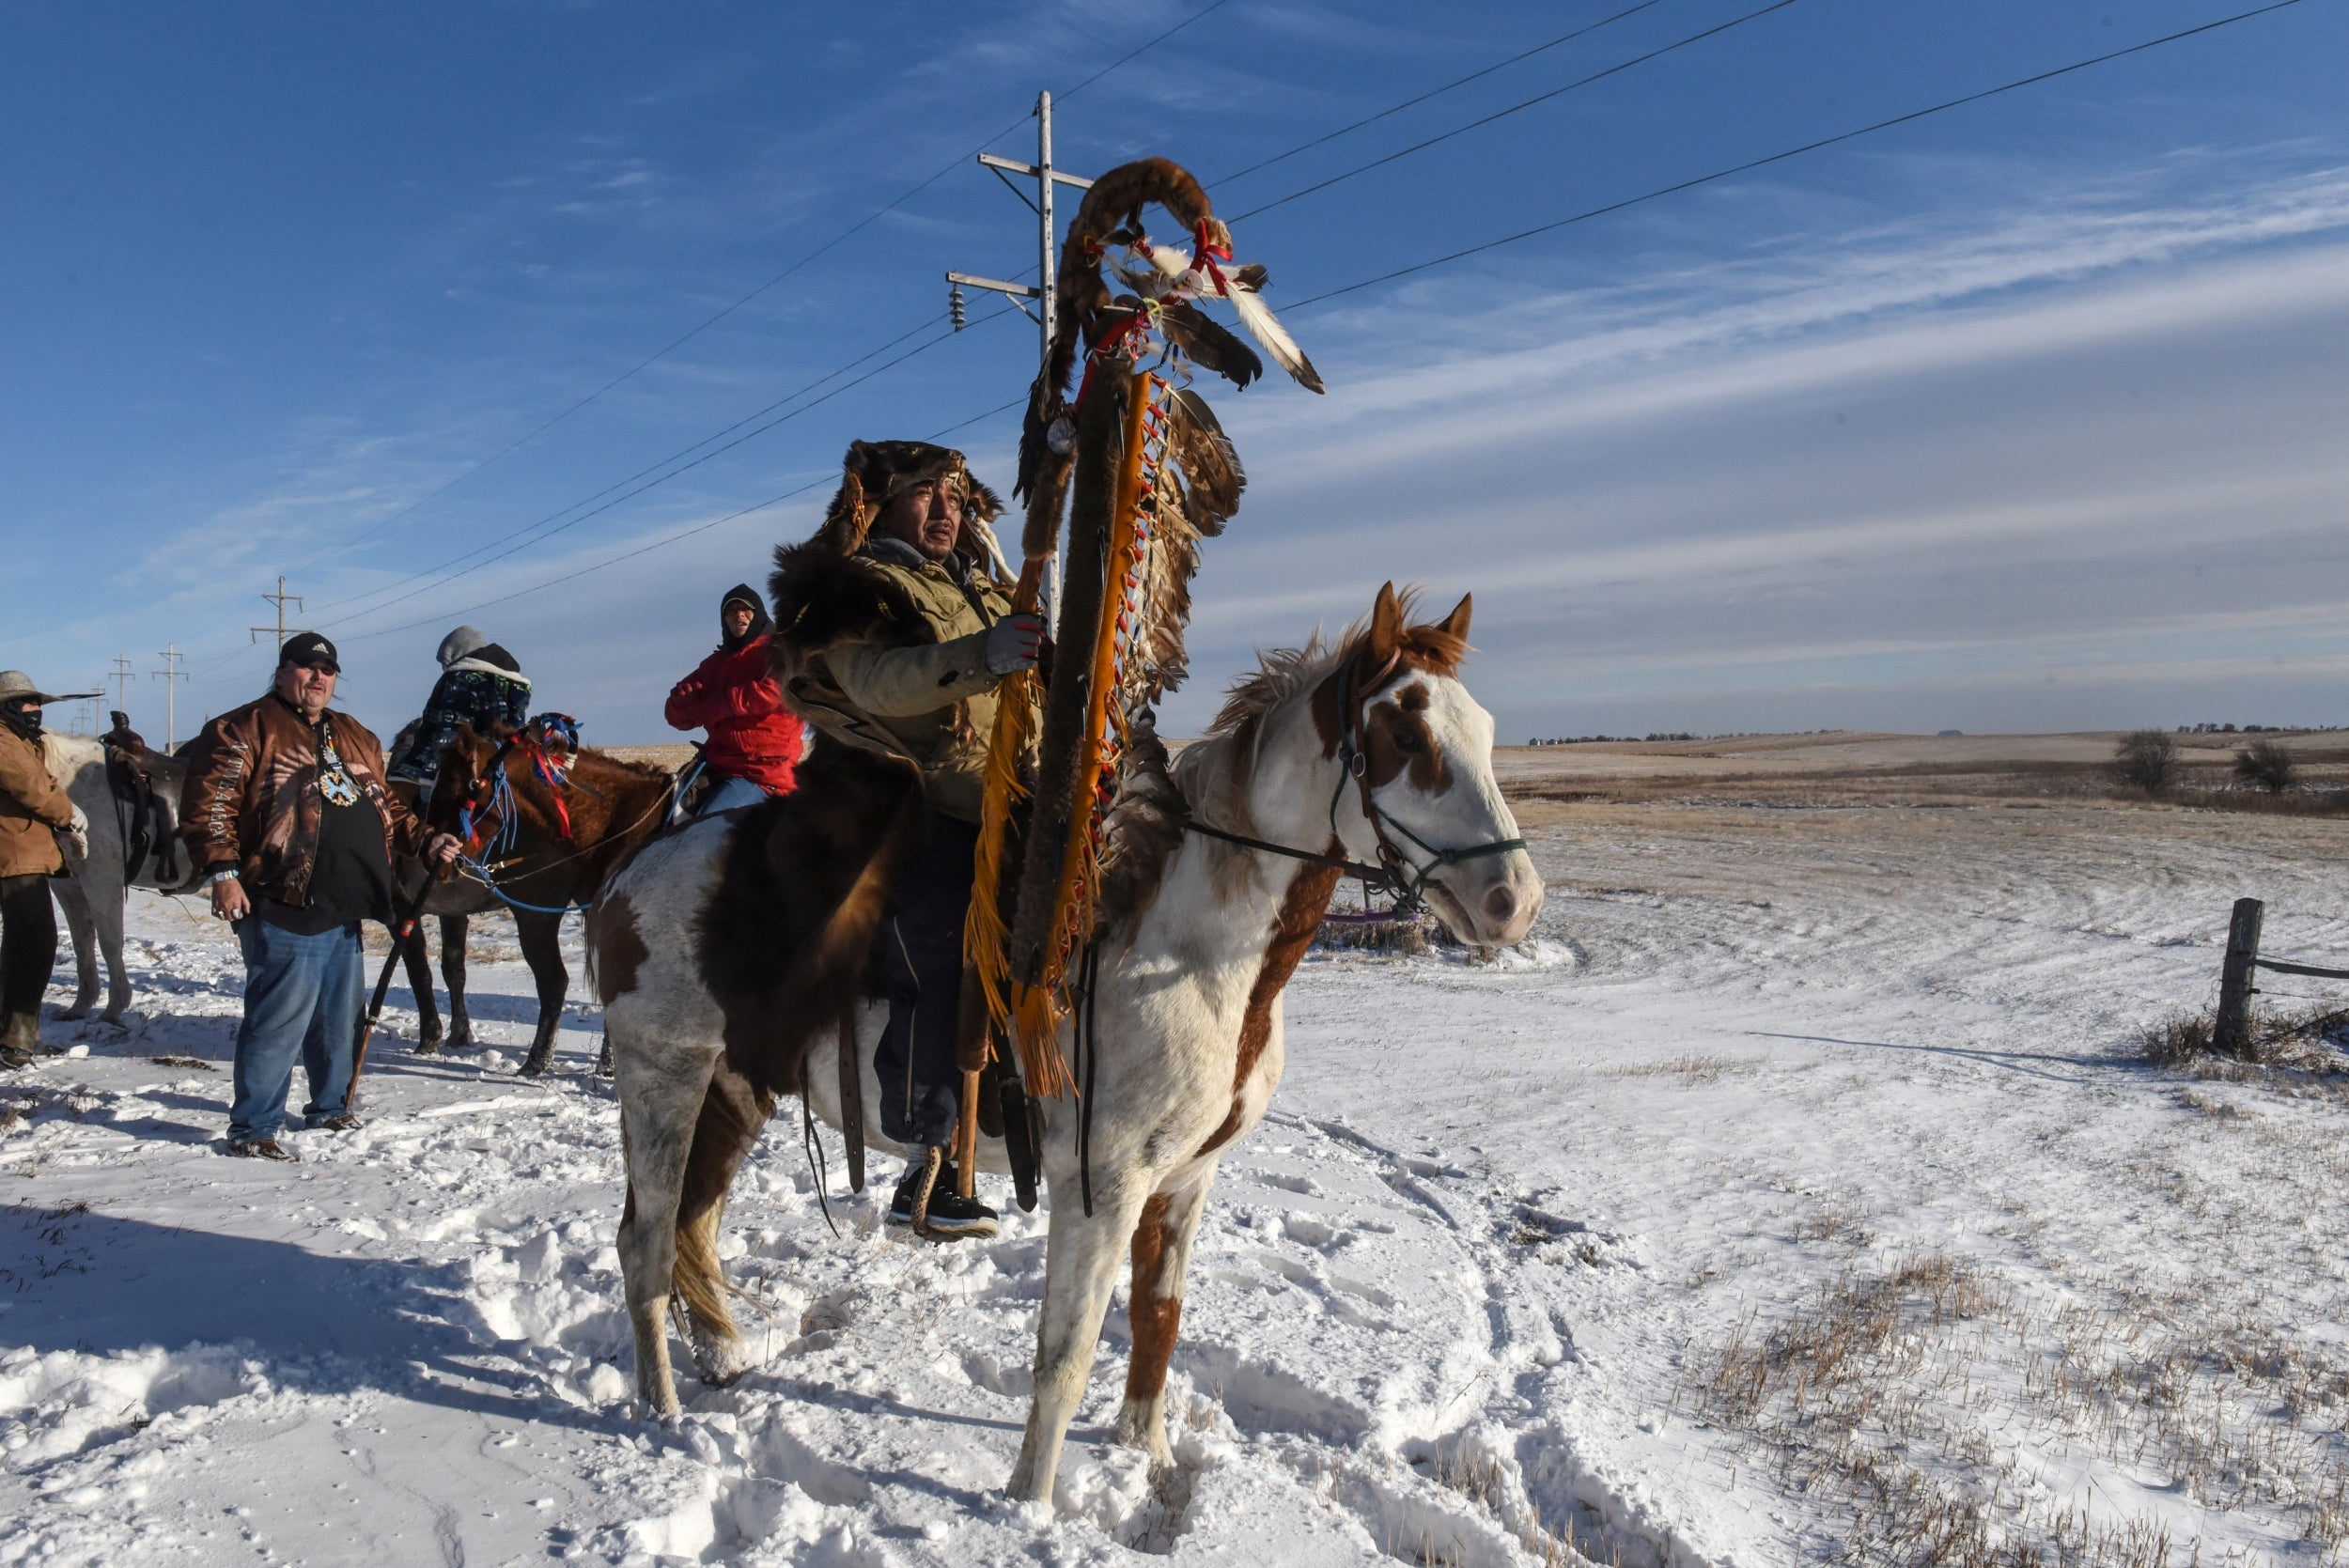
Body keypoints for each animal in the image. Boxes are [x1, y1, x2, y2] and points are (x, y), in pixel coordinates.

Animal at [44, 732, 198, 1023]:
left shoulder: (102, 880)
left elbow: (110, 942)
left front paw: (114, 1007)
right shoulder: (67, 886)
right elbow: (82, 943)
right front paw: (80, 1006)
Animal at [587, 582, 1541, 1502]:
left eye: (1488, 730)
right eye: (1406, 731)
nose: (1514, 899)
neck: (1188, 949)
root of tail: (627, 872)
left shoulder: (1186, 1178)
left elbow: (1158, 1321)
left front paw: (1146, 1455)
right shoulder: (1101, 1186)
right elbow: (1067, 1352)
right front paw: (1032, 1505)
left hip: (735, 1086)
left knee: (694, 1223)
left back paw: (721, 1360)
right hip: (661, 1077)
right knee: (646, 1243)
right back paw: (662, 1411)